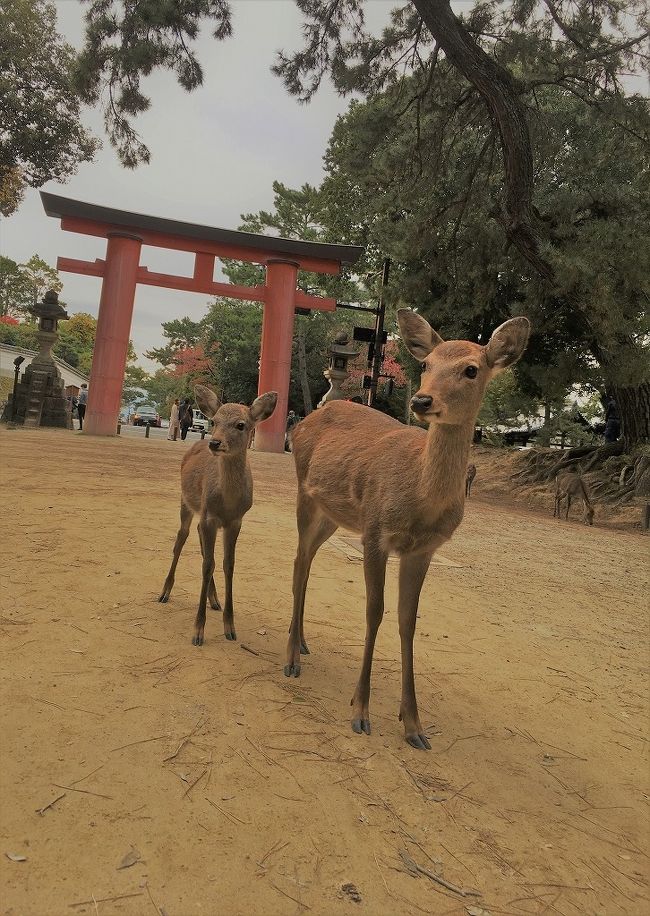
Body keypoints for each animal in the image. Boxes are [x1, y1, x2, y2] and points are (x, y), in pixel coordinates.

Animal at [160, 384, 278, 644]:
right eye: (214, 421)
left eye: (241, 424)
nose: (215, 443)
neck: (227, 503)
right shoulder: (210, 516)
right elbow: (207, 565)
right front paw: (198, 631)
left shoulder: (235, 521)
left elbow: (227, 564)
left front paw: (230, 627)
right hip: (186, 501)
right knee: (181, 539)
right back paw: (164, 592)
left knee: (200, 542)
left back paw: (214, 600)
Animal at [282, 308, 528, 752]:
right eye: (426, 364)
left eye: (471, 369)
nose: (421, 400)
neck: (420, 501)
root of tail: (306, 421)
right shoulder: (376, 531)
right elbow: (373, 611)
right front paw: (360, 712)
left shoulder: (423, 549)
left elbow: (408, 620)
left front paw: (414, 725)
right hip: (305, 494)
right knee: (298, 562)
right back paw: (291, 658)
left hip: (333, 514)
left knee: (306, 561)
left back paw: (304, 643)